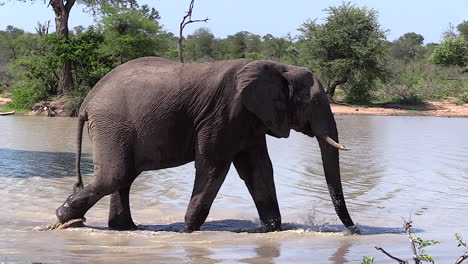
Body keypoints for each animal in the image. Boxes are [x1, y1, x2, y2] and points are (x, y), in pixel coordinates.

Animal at [56, 57, 360, 233]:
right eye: (314, 103)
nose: (354, 231)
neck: (280, 67)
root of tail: (86, 101)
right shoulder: (224, 113)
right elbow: (214, 167)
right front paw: (188, 231)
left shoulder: (250, 117)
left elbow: (258, 169)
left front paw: (273, 229)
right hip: (112, 124)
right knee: (116, 175)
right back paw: (65, 218)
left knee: (124, 177)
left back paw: (125, 228)